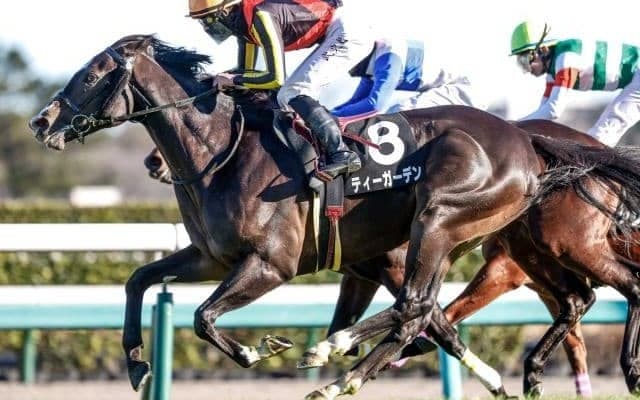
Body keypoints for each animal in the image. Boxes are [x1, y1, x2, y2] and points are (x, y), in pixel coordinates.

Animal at [28, 35, 640, 399]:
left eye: (92, 76)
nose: (41, 121)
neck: (221, 151)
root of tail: (526, 140)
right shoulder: (213, 257)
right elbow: (138, 279)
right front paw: (136, 365)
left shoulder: (271, 264)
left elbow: (203, 317)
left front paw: (258, 348)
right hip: (497, 246)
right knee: (455, 308)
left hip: (448, 220)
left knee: (420, 307)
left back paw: (336, 360)